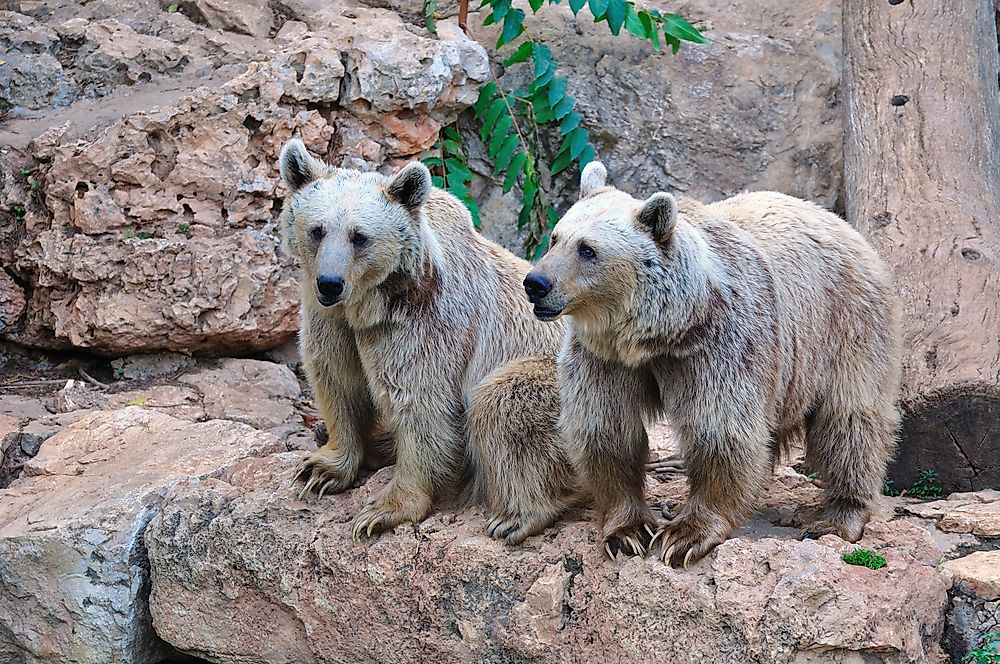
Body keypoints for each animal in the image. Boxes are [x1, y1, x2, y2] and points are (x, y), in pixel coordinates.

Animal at [278, 141, 568, 540]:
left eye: (359, 236)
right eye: (317, 230)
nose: (330, 283)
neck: (368, 305)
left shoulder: (423, 325)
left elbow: (421, 404)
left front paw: (383, 509)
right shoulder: (331, 322)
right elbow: (336, 379)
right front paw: (320, 468)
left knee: (501, 402)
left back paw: (518, 515)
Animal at [520, 161, 904, 564]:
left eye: (588, 249)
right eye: (556, 238)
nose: (536, 282)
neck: (660, 333)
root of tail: (842, 224)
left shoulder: (722, 343)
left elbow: (719, 429)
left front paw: (685, 534)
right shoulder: (603, 357)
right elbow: (606, 428)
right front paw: (627, 532)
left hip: (845, 323)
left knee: (849, 419)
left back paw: (836, 515)